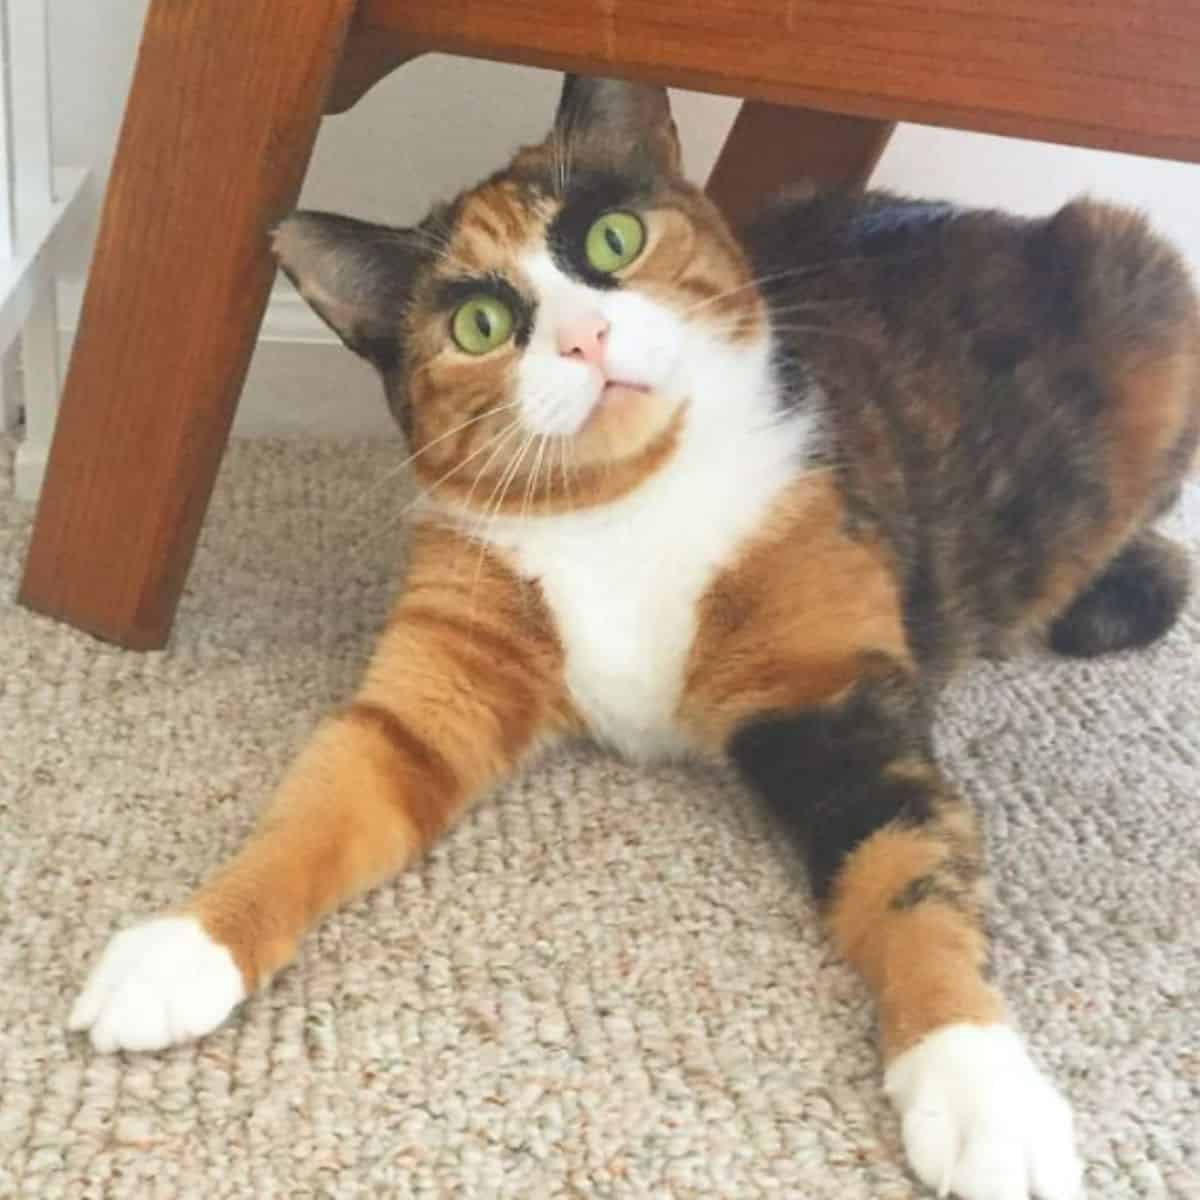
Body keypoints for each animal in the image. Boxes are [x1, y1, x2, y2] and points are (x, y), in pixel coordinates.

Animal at [70, 77, 1195, 1200]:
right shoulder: (439, 673)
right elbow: (321, 802)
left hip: (1146, 287)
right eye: (481, 321)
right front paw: (185, 944)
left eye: (612, 239)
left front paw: (976, 1088)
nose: (584, 340)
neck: (628, 503)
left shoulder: (831, 695)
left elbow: (911, 875)